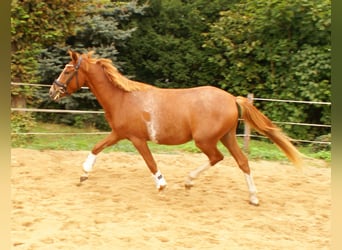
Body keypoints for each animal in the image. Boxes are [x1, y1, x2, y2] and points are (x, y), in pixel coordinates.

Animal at [48, 50, 302, 205]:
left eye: (68, 69)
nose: (52, 91)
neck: (123, 98)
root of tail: (232, 99)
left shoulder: (134, 138)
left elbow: (150, 162)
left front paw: (161, 185)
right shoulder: (119, 134)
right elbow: (97, 147)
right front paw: (83, 175)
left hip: (205, 140)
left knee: (217, 157)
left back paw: (189, 181)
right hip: (227, 137)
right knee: (242, 162)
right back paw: (253, 197)